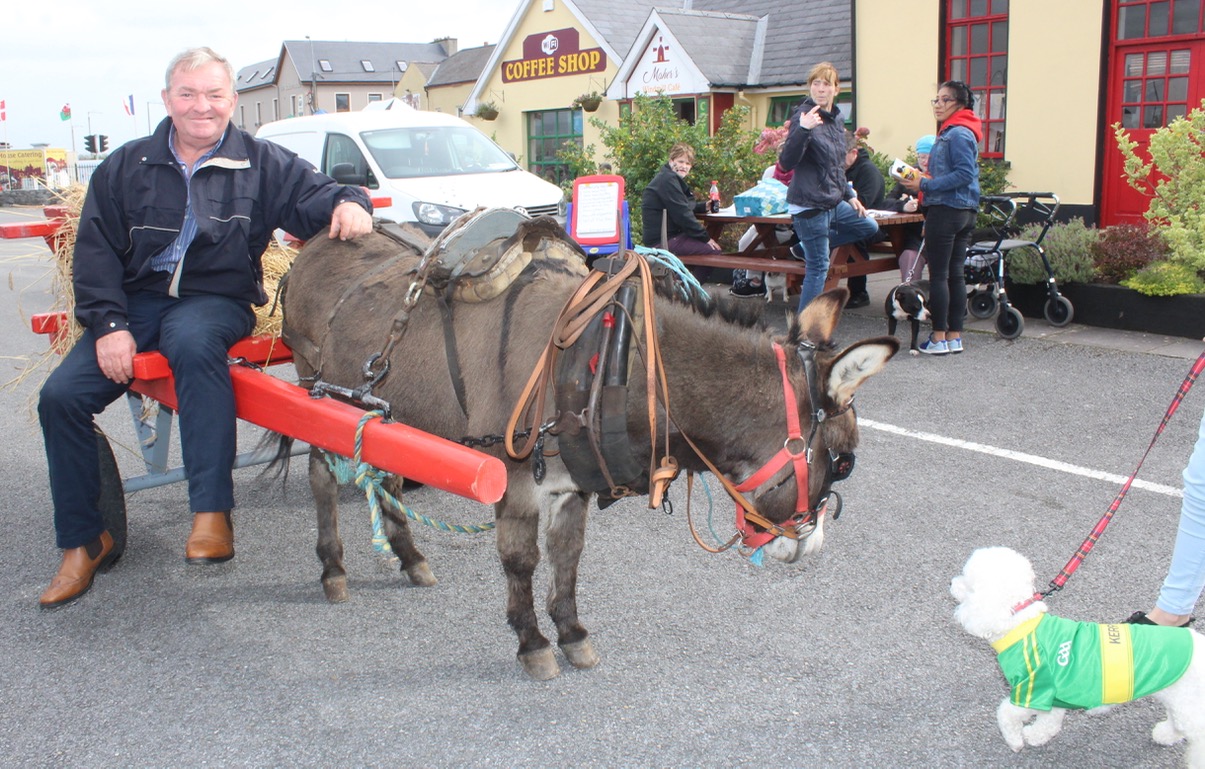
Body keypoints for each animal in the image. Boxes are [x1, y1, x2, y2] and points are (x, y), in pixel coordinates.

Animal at [954, 549, 1200, 766]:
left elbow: (1006, 713)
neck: (1020, 622)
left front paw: (1015, 741)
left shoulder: (1033, 688)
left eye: (966, 580)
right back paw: (1165, 734)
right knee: (1176, 723)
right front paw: (1036, 735)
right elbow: (1049, 722)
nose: (951, 583)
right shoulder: (1053, 694)